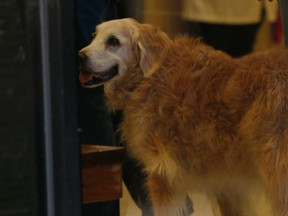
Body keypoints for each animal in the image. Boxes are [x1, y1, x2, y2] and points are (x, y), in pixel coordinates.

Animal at [77, 18, 288, 216]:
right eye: (94, 36)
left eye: (113, 41)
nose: (80, 56)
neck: (149, 77)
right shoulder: (226, 185)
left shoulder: (161, 175)